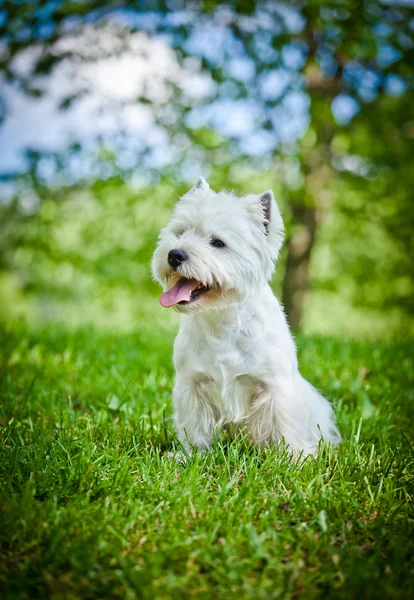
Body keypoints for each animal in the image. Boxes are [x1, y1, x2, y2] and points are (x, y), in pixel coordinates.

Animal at [152, 178, 340, 454]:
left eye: (218, 243)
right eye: (181, 232)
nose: (174, 254)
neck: (222, 321)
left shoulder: (274, 386)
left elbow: (284, 426)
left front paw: (294, 457)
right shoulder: (192, 382)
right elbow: (195, 426)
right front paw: (191, 454)